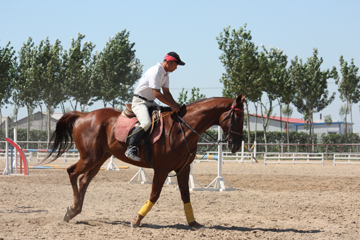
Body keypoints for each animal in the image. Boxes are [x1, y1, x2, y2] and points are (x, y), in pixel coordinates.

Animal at [46, 93, 246, 229]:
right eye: (237, 117)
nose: (236, 145)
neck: (182, 129)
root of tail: (82, 116)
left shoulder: (183, 169)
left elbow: (185, 195)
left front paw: (193, 223)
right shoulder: (162, 169)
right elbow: (154, 195)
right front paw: (136, 220)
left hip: (99, 159)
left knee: (84, 180)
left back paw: (75, 209)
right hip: (90, 157)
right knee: (72, 173)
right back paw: (72, 210)